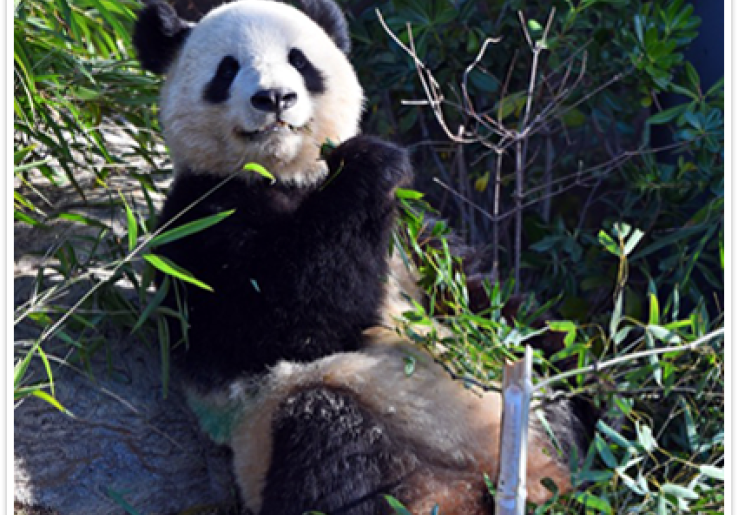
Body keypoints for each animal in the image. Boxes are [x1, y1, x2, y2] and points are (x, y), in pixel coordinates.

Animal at [133, 1, 595, 514]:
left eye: (299, 60)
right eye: (227, 69)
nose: (274, 98)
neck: (287, 174)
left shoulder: (414, 232)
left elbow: (475, 293)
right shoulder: (199, 220)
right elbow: (277, 320)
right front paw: (367, 161)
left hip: (534, 422)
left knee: (560, 408)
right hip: (299, 423)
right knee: (334, 447)